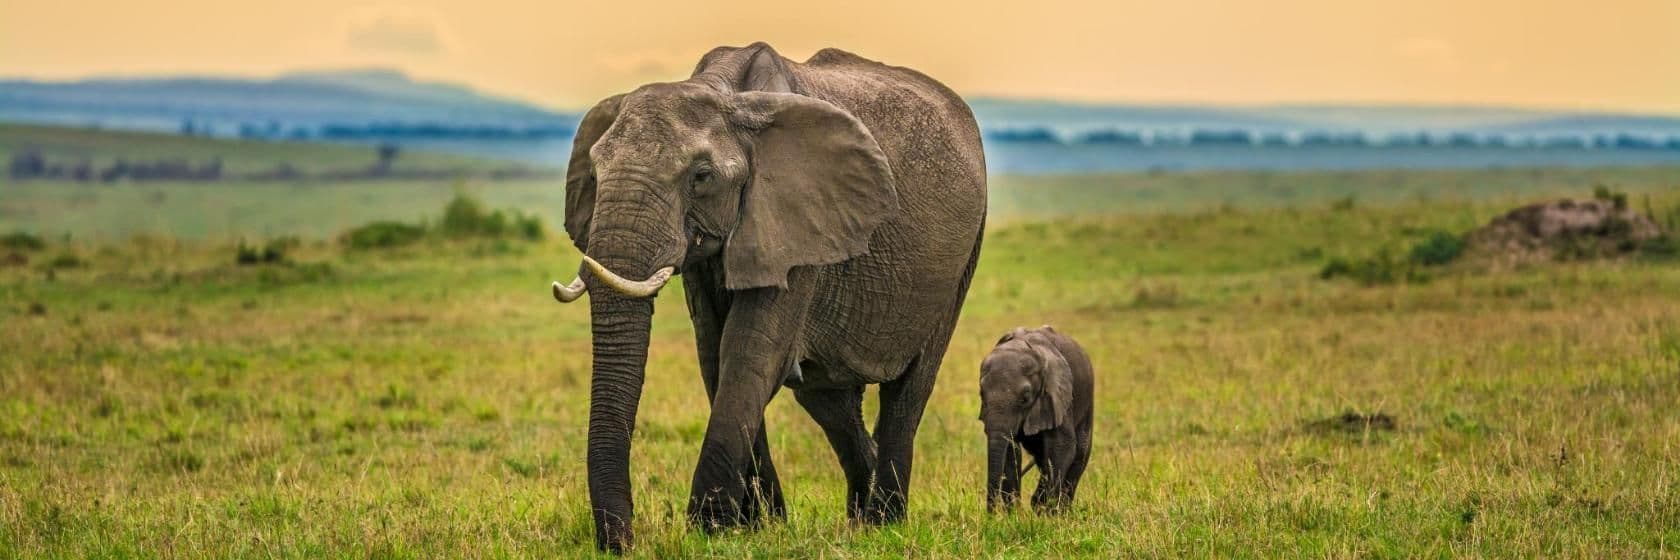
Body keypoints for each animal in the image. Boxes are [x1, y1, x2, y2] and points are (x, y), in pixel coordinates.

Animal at [549, 43, 986, 552]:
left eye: (701, 176)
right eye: (596, 173)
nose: (621, 543)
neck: (725, 96)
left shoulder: (797, 219)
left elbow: (749, 353)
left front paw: (711, 529)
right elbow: (715, 356)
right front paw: (761, 526)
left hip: (961, 260)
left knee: (909, 388)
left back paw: (884, 521)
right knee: (828, 401)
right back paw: (859, 516)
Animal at [979, 325, 1093, 513]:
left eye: (1025, 398)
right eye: (981, 394)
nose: (991, 514)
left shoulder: (1058, 396)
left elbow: (1062, 446)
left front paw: (1043, 509)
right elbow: (1011, 450)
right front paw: (1014, 513)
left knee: (1080, 453)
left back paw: (1060, 511)